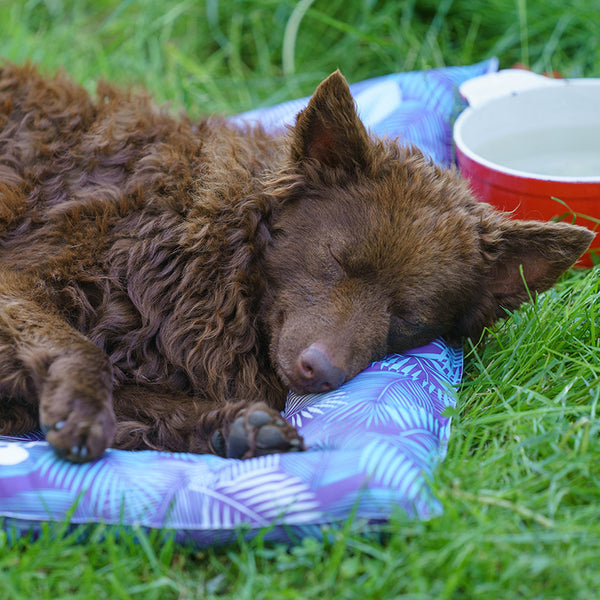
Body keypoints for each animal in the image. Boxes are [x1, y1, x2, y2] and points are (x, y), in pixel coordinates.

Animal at [0, 63, 592, 462]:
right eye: (334, 261)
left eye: (407, 318)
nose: (320, 371)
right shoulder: (20, 280)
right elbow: (84, 352)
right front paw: (81, 410)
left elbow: (140, 398)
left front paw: (234, 427)